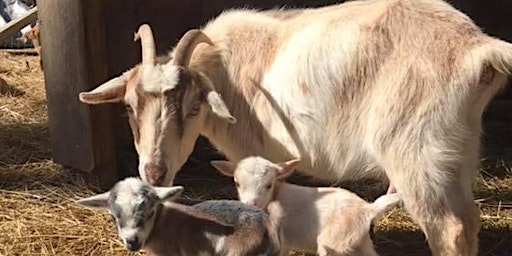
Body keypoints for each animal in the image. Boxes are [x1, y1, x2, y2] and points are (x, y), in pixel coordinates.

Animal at [77, 0, 512, 253]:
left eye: (193, 104)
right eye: (129, 106)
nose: (154, 171)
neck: (224, 69)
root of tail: (476, 47)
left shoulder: (253, 151)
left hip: (417, 149)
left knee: (448, 228)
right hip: (457, 147)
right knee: (468, 220)